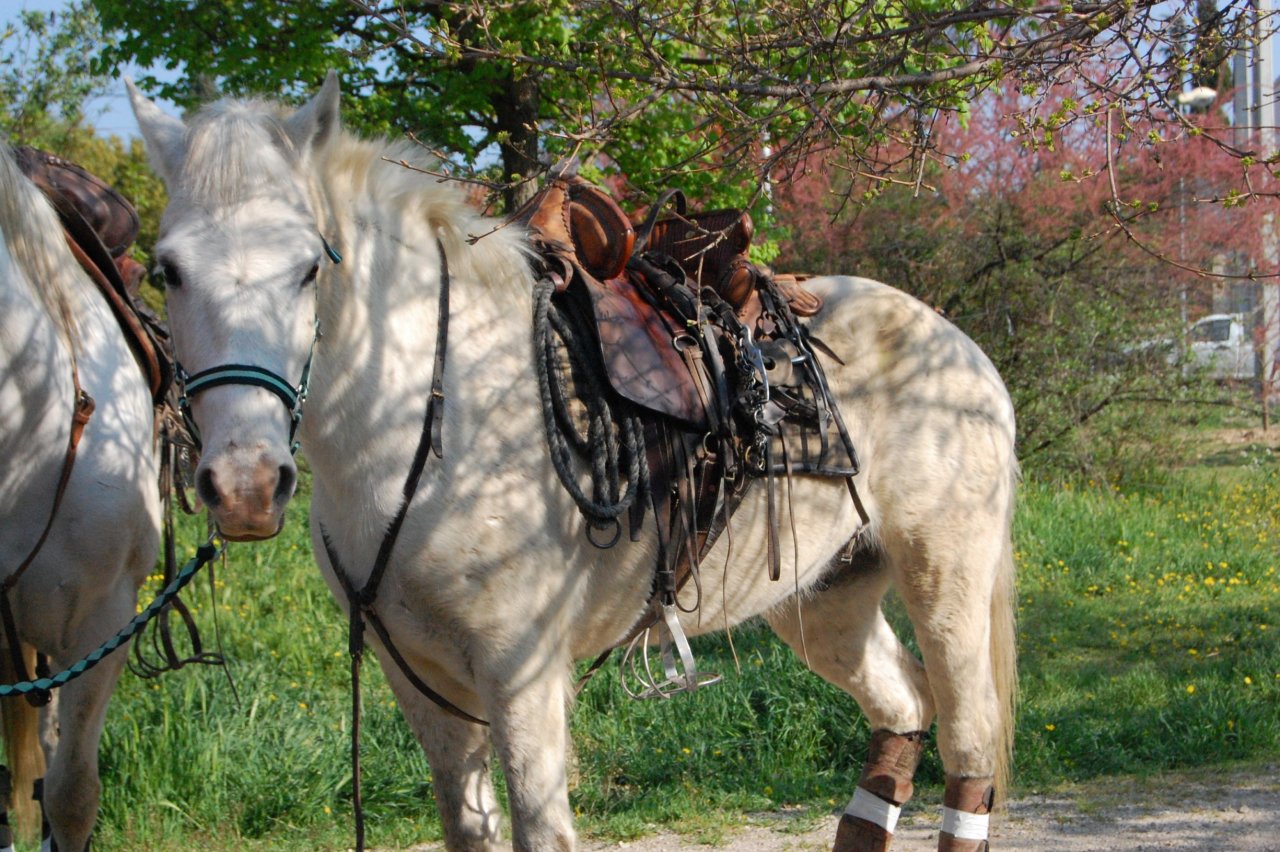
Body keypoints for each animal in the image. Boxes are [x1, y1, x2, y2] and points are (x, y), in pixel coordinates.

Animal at [132, 74, 1018, 849]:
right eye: (165, 269)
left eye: (310, 267)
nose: (245, 486)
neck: (433, 417)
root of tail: (960, 347)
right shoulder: (419, 681)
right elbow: (470, 829)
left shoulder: (519, 675)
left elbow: (541, 827)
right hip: (828, 596)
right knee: (900, 711)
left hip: (946, 580)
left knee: (969, 747)